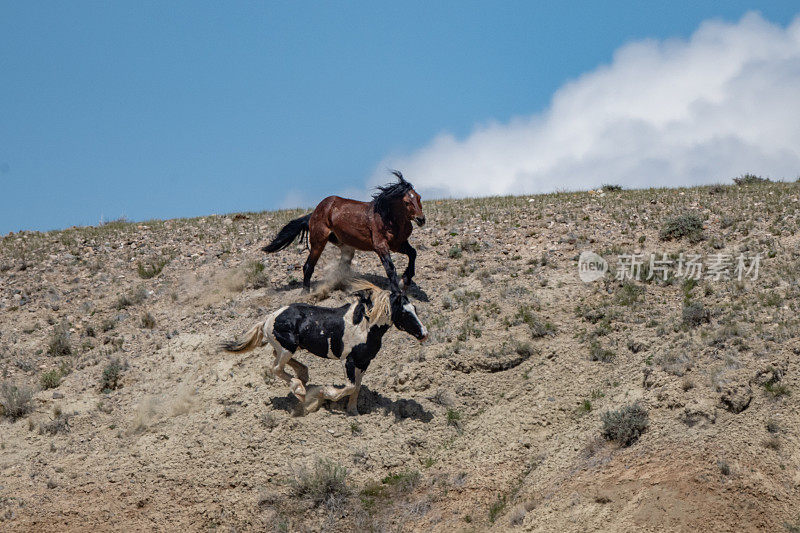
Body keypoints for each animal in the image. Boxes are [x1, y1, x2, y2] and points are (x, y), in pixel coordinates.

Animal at [222, 280, 428, 414]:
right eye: (405, 313)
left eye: (415, 309)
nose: (424, 333)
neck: (365, 326)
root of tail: (268, 319)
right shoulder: (349, 361)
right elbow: (349, 386)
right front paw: (325, 393)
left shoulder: (364, 362)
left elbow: (357, 387)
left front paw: (353, 410)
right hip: (288, 348)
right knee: (276, 368)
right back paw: (300, 390)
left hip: (289, 347)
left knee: (276, 356)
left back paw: (303, 375)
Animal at [262, 171, 424, 290]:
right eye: (406, 202)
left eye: (419, 197)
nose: (421, 219)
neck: (387, 217)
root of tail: (314, 213)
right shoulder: (381, 246)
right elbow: (390, 268)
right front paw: (397, 289)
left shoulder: (398, 244)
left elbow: (413, 253)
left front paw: (406, 279)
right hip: (318, 242)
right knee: (308, 266)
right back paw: (306, 293)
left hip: (345, 245)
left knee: (341, 267)